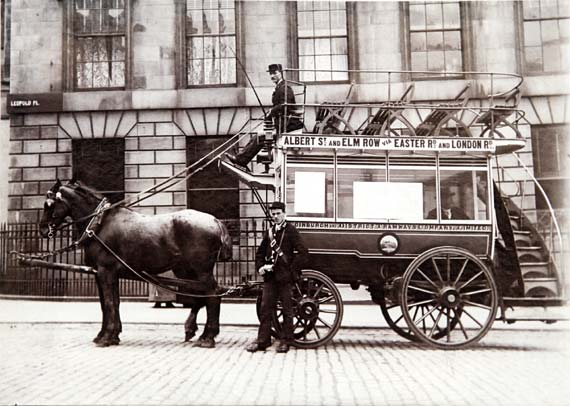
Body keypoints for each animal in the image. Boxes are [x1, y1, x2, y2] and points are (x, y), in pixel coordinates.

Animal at [38, 179, 231, 348]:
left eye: (50, 204)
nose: (42, 230)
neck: (99, 223)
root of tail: (215, 221)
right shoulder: (105, 273)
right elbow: (111, 303)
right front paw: (110, 334)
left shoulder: (105, 271)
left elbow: (108, 303)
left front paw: (106, 337)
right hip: (186, 271)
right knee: (201, 297)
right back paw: (197, 332)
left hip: (201, 271)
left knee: (212, 295)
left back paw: (208, 337)